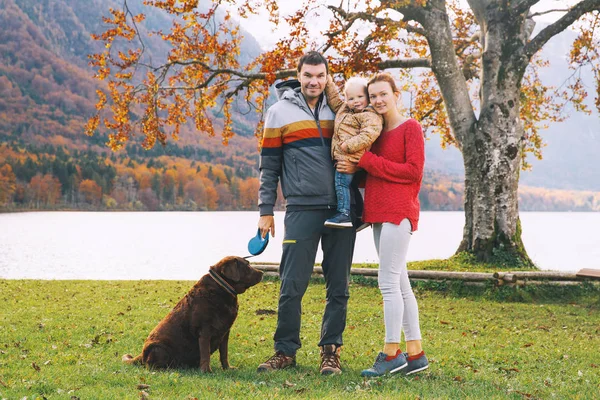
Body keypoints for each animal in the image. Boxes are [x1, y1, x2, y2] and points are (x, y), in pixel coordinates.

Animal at [121, 256, 262, 372]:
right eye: (247, 265)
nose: (262, 273)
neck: (222, 289)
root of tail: (142, 354)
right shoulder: (205, 329)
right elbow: (205, 353)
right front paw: (206, 371)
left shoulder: (225, 332)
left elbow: (224, 353)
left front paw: (227, 368)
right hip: (159, 348)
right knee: (150, 365)